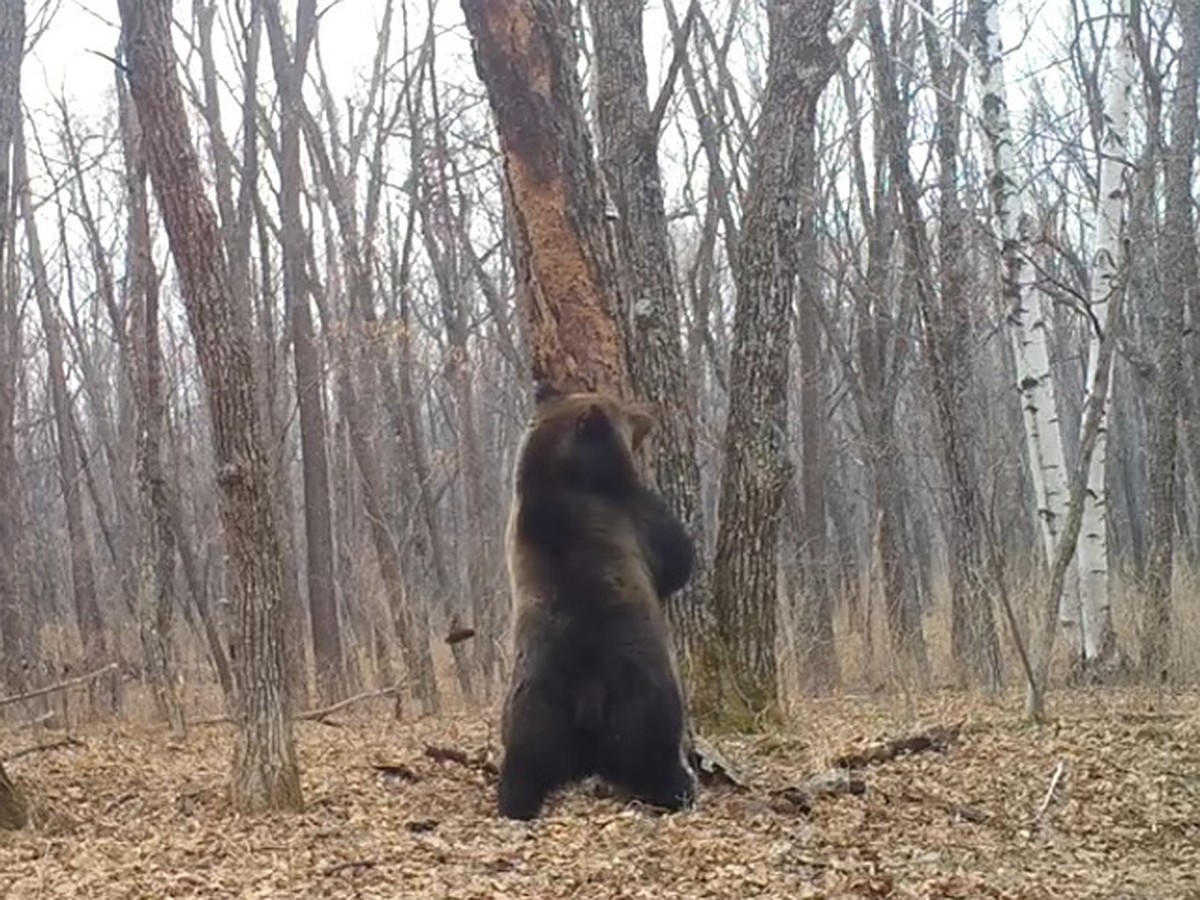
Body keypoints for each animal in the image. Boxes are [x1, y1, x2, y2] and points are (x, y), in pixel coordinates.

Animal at [496, 384, 700, 820]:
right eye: (625, 409)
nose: (649, 409)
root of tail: (588, 692)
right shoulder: (630, 514)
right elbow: (675, 558)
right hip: (644, 701)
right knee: (655, 754)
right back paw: (682, 789)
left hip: (533, 711)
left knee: (523, 766)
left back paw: (514, 805)